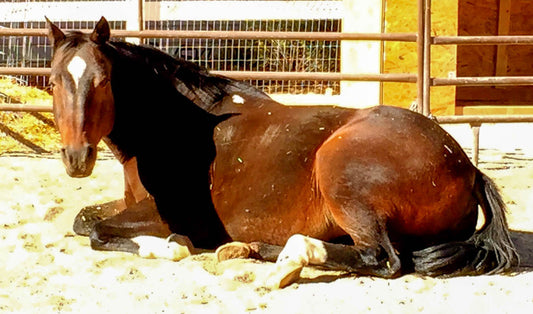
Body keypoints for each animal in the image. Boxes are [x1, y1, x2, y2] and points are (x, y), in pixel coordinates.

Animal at [45, 17, 516, 288]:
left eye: (104, 79)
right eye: (52, 80)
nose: (76, 157)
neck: (175, 125)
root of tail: (468, 167)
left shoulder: (172, 214)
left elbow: (99, 232)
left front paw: (172, 246)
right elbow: (82, 219)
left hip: (341, 176)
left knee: (381, 258)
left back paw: (282, 257)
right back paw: (253, 250)